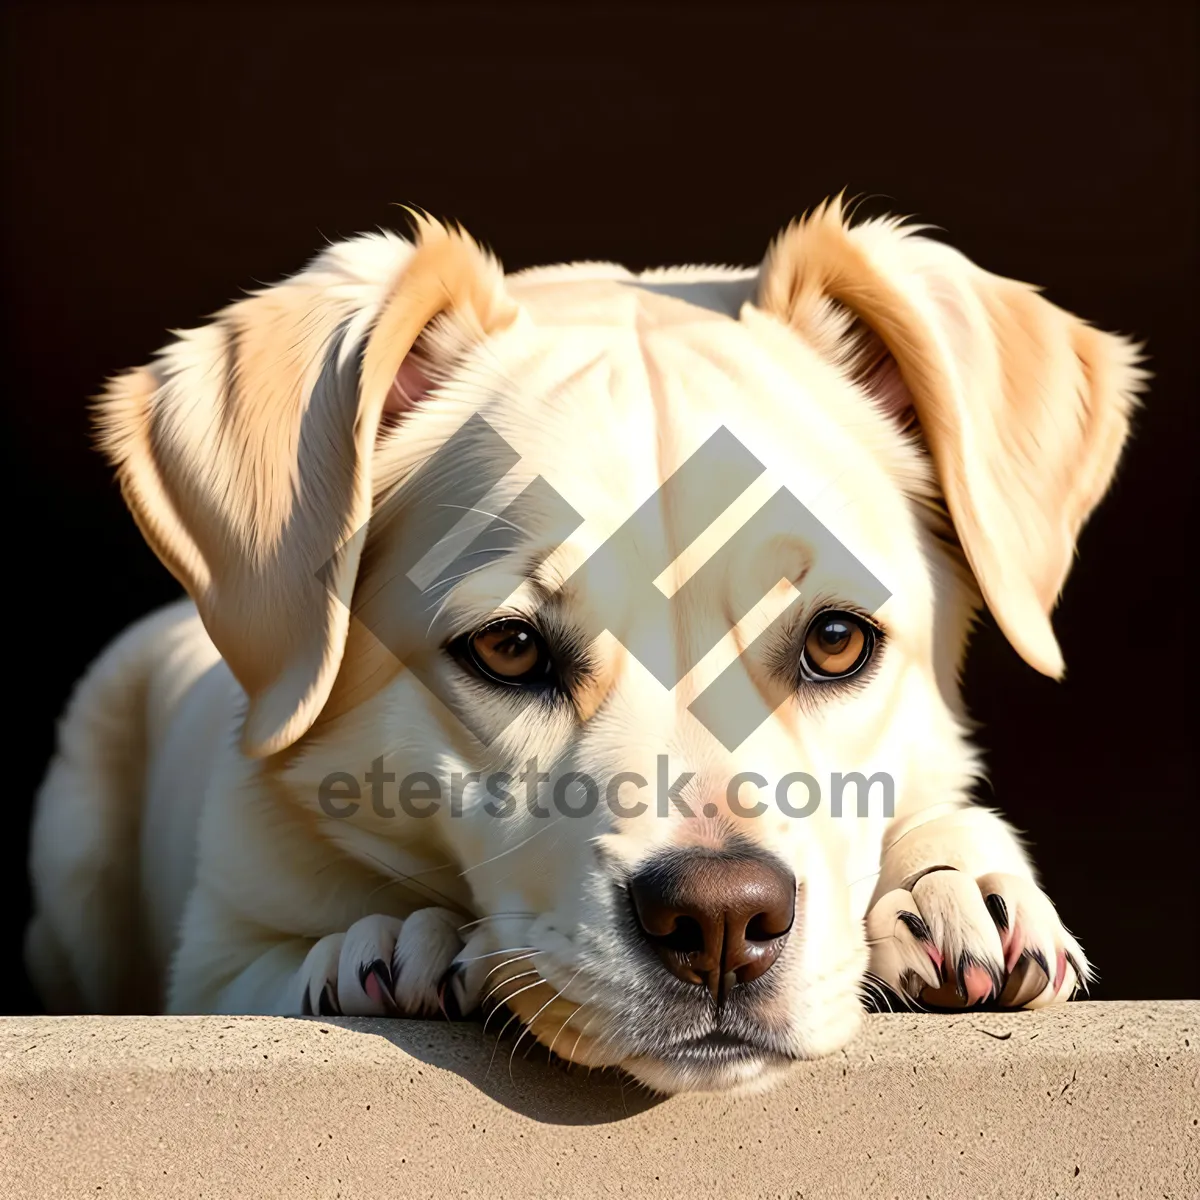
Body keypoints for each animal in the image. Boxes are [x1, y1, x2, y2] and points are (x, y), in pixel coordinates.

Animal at [23, 199, 1137, 1099]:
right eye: (510, 649)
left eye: (834, 640)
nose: (720, 922)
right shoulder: (211, 959)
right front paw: (391, 939)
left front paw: (946, 884)